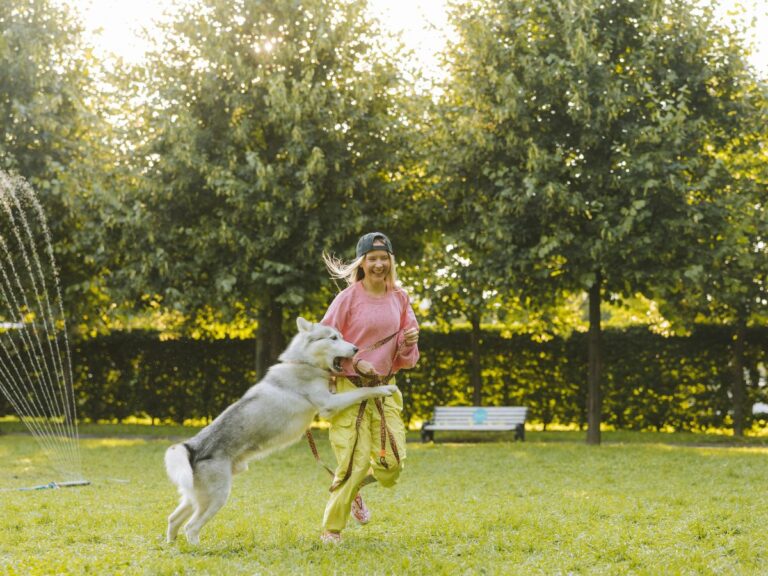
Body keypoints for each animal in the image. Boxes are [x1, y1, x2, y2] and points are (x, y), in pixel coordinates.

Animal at [164, 316, 397, 544]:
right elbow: (363, 391)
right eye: (333, 338)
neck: (303, 362)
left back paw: (172, 545)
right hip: (217, 497)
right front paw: (384, 388)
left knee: (173, 518)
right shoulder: (329, 404)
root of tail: (191, 446)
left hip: (196, 496)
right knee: (191, 527)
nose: (356, 349)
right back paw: (196, 548)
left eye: (341, 336)